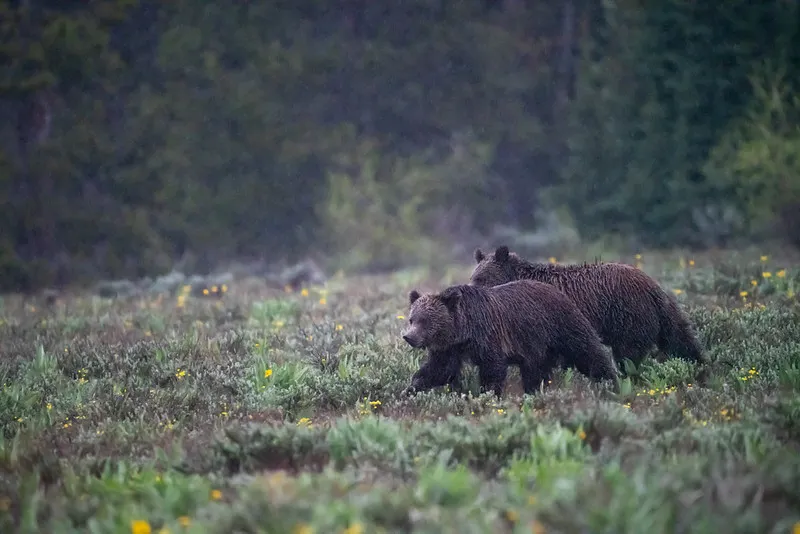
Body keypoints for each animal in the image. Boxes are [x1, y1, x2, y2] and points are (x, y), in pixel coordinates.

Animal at [400, 280, 619, 397]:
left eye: (425, 320)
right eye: (412, 319)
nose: (408, 336)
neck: (464, 331)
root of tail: (557, 291)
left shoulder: (488, 336)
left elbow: (492, 368)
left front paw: (488, 394)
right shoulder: (449, 348)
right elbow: (440, 370)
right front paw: (410, 389)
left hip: (561, 324)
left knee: (587, 352)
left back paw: (612, 382)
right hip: (536, 347)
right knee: (535, 372)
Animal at [470, 246, 707, 370]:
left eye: (482, 278)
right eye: (474, 277)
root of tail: (652, 286)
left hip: (629, 316)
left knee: (629, 354)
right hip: (662, 314)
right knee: (681, 338)